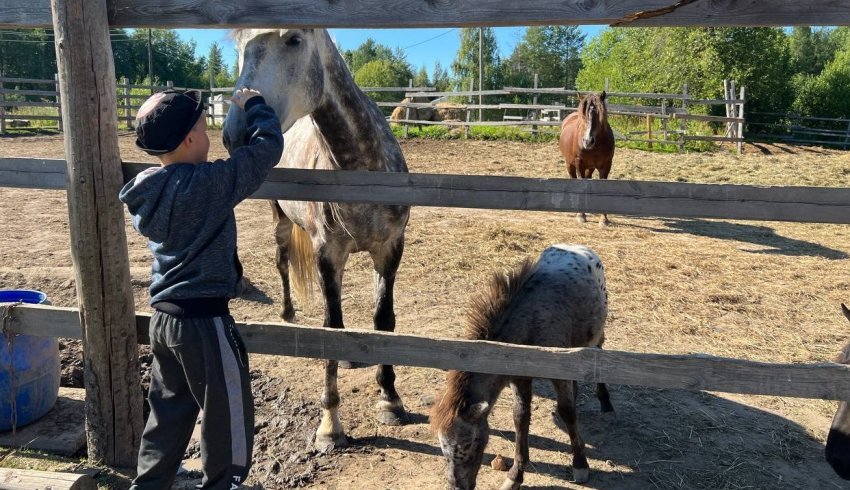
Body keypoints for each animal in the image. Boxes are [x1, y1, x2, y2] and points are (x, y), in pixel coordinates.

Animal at [430, 245, 608, 490]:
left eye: (468, 444)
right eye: (442, 448)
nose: (457, 486)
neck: (529, 322)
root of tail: (579, 248)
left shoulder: (558, 371)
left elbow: (567, 411)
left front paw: (580, 463)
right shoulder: (519, 376)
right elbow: (520, 417)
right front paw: (515, 475)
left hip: (596, 335)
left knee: (599, 351)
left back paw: (605, 401)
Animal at [556, 91, 608, 226]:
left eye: (599, 114)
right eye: (583, 115)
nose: (588, 141)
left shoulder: (606, 165)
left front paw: (604, 219)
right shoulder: (579, 163)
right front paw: (581, 215)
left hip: (590, 167)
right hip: (570, 164)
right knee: (573, 178)